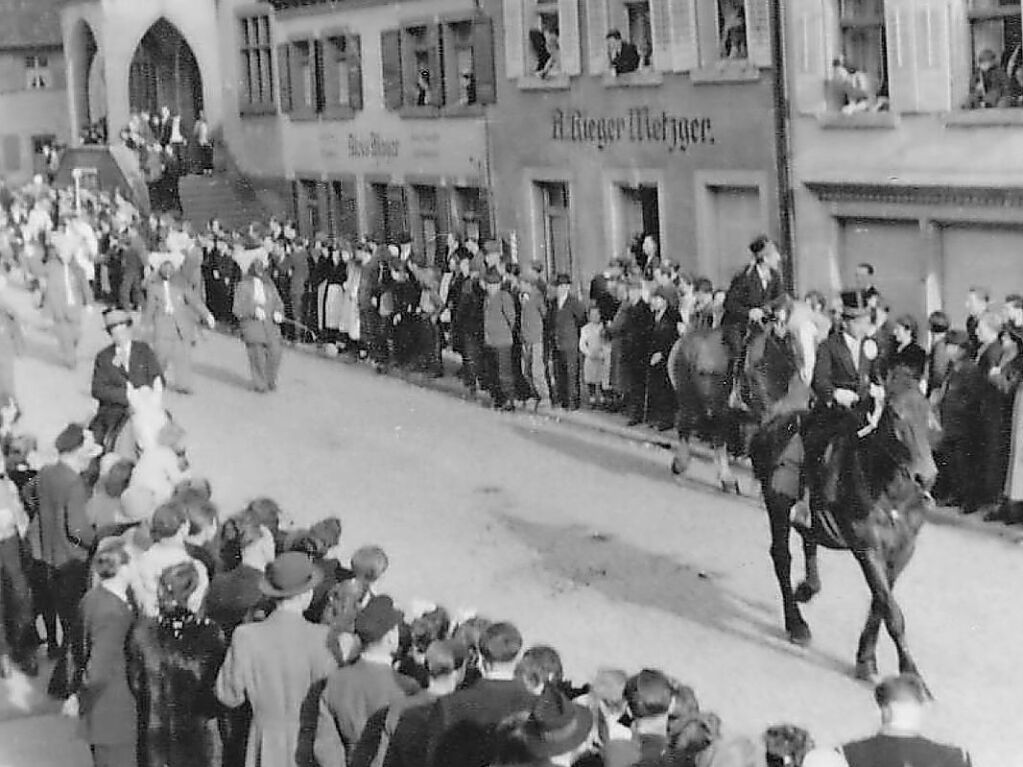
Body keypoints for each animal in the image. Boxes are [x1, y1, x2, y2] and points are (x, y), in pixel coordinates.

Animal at [748, 370, 937, 687]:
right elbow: (890, 609)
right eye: (895, 414)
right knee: (782, 559)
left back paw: (807, 588)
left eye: (931, 417)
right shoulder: (866, 545)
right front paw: (912, 673)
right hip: (777, 506)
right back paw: (796, 624)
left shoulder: (902, 551)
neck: (890, 490)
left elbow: (880, 603)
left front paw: (866, 659)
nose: (926, 476)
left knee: (809, 544)